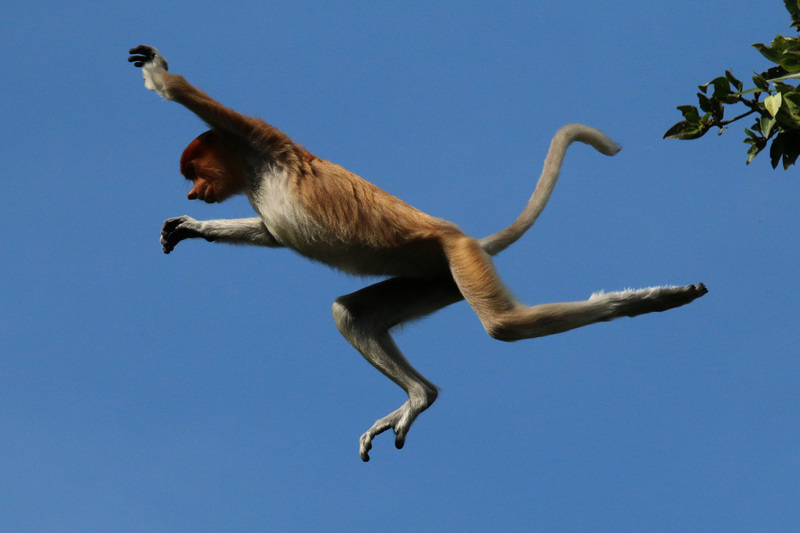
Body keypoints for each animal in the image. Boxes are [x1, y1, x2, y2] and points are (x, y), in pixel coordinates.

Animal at [130, 45, 708, 460]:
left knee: (504, 325)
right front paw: (189, 228)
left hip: (459, 258)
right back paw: (417, 398)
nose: (192, 195)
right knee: (350, 314)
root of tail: (464, 237)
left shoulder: (260, 138)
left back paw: (649, 300)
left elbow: (191, 96)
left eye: (194, 171)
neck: (251, 170)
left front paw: (158, 73)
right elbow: (272, 234)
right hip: (438, 279)